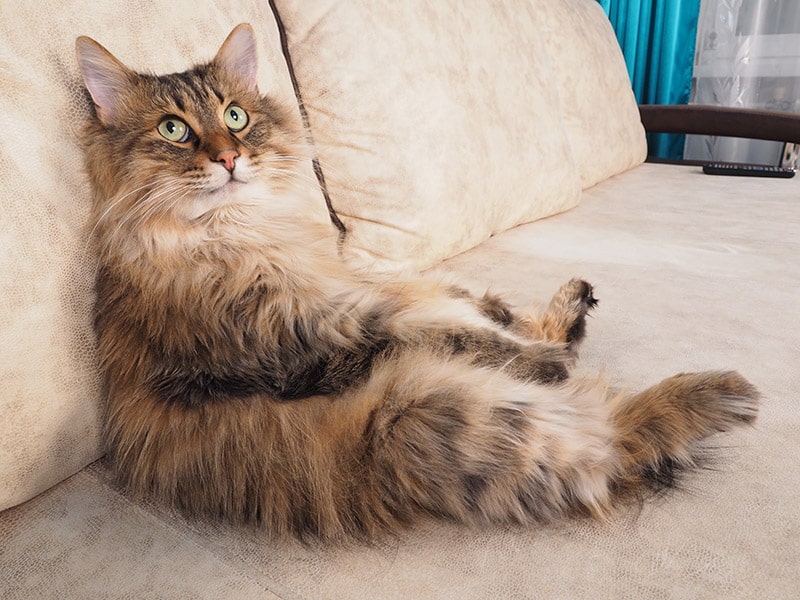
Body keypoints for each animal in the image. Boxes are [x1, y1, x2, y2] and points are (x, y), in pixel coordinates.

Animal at [78, 22, 760, 540]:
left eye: (236, 117)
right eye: (173, 129)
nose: (228, 158)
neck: (247, 233)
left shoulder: (366, 289)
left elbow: (470, 308)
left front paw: (523, 324)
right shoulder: (315, 345)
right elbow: (465, 336)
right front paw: (540, 359)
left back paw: (580, 306)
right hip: (427, 411)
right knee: (612, 444)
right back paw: (721, 393)